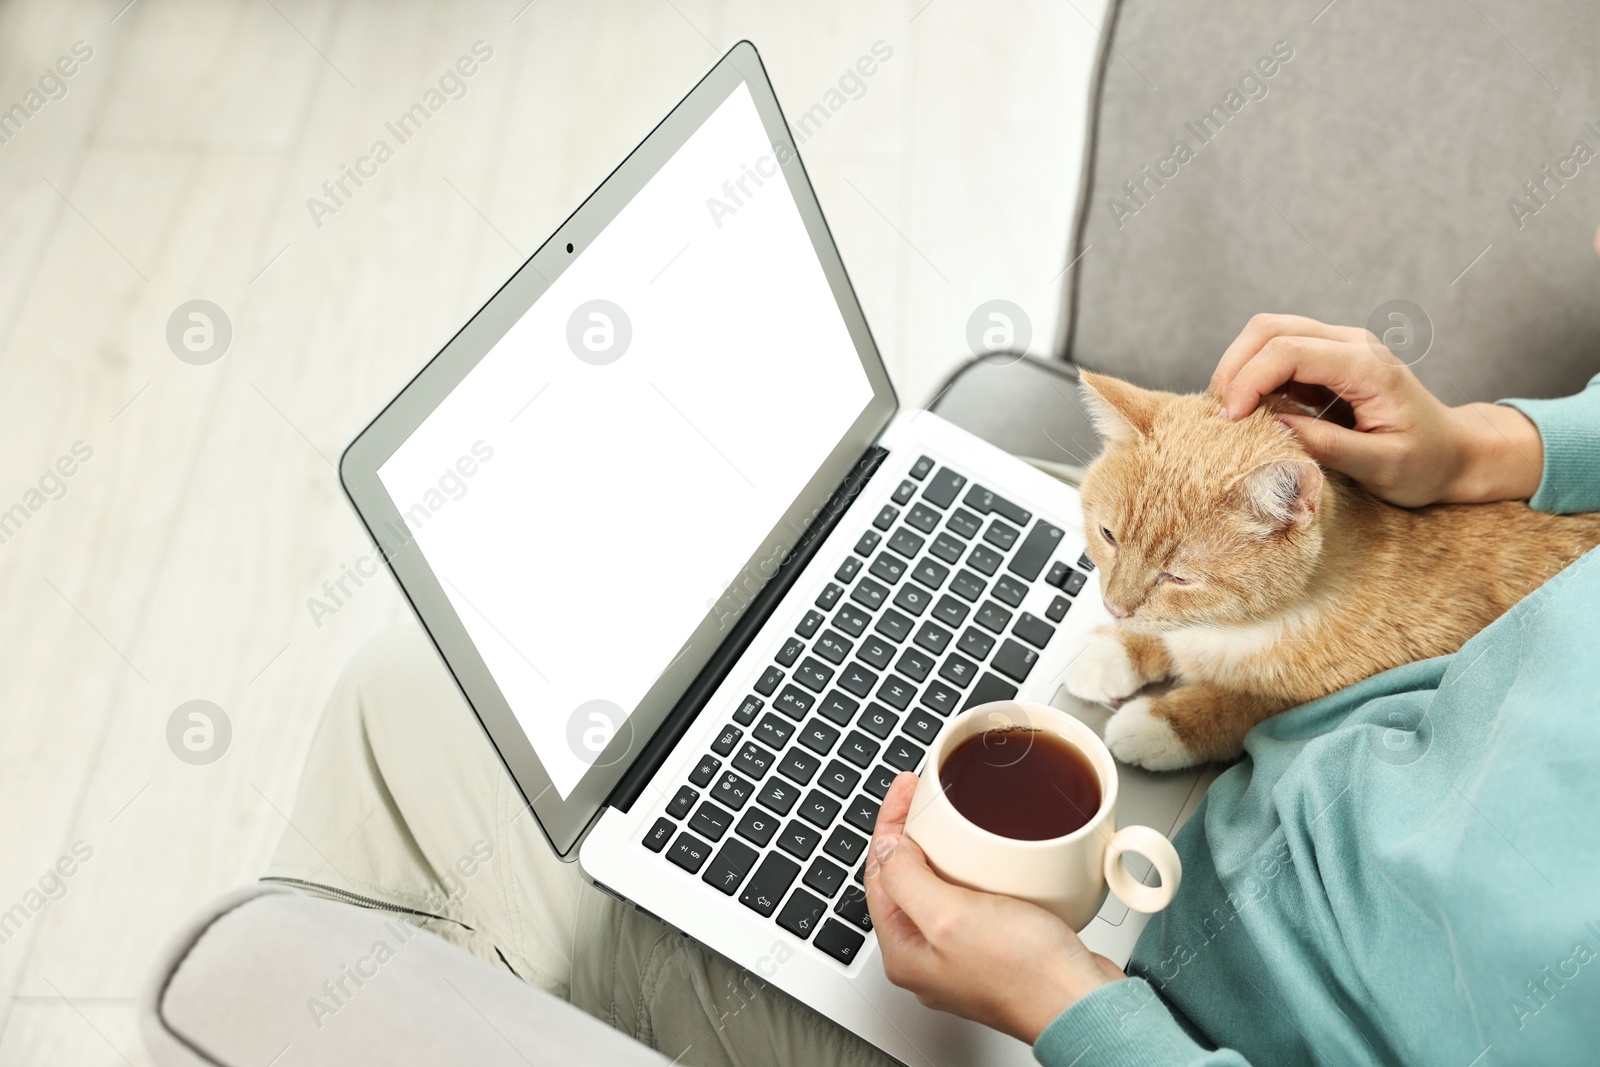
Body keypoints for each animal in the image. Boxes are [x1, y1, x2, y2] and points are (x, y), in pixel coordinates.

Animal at [1062, 371, 1600, 771]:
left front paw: (1158, 723)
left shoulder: (1356, 685)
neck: (1243, 626)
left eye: (1178, 577)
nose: (1113, 606)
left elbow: (1242, 703)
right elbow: (1166, 636)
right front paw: (1113, 651)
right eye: (1109, 536)